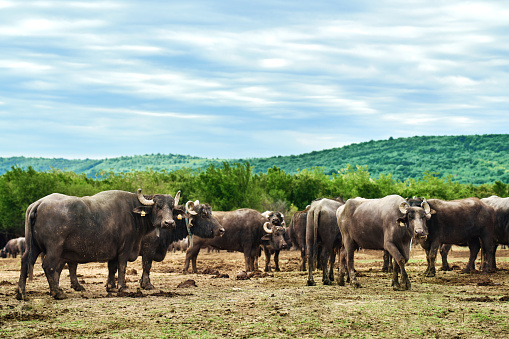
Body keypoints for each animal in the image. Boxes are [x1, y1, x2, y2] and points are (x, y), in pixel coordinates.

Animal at [16, 190, 182, 302]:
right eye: (158, 206)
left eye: (172, 208)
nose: (169, 223)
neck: (132, 213)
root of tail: (39, 203)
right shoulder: (125, 249)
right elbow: (122, 267)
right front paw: (122, 287)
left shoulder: (114, 251)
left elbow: (112, 268)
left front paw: (111, 287)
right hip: (54, 249)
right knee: (48, 266)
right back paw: (57, 292)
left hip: (32, 247)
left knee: (25, 261)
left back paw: (21, 293)